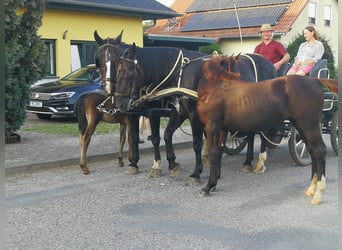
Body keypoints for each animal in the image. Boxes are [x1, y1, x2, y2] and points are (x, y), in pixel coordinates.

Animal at [196, 55, 338, 204]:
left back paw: (318, 194)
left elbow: (213, 153)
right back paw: (311, 189)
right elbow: (218, 152)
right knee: (312, 150)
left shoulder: (212, 126)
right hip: (300, 125)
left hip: (309, 125)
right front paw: (214, 184)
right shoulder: (222, 128)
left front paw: (207, 187)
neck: (215, 87)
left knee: (319, 150)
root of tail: (314, 80)